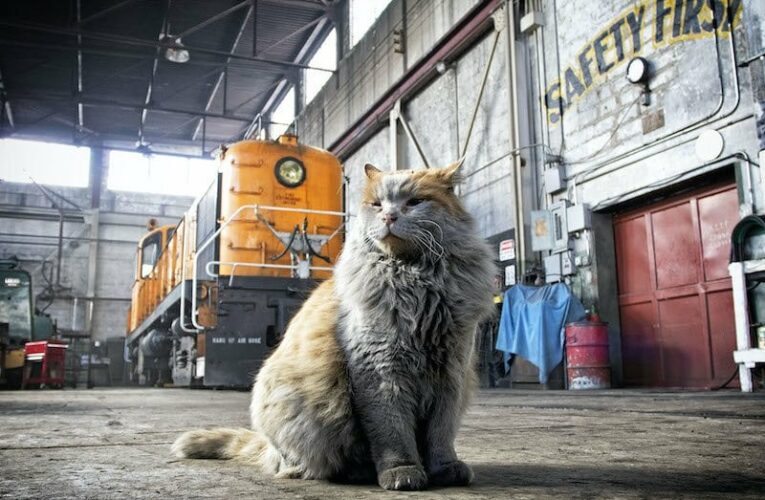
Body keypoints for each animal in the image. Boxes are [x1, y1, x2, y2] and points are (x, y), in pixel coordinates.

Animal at [172, 162, 496, 490]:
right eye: (377, 204)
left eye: (415, 202)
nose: (389, 217)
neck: (416, 281)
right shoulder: (380, 371)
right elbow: (392, 431)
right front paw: (401, 472)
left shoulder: (452, 372)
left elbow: (441, 433)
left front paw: (446, 468)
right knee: (301, 463)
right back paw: (353, 471)